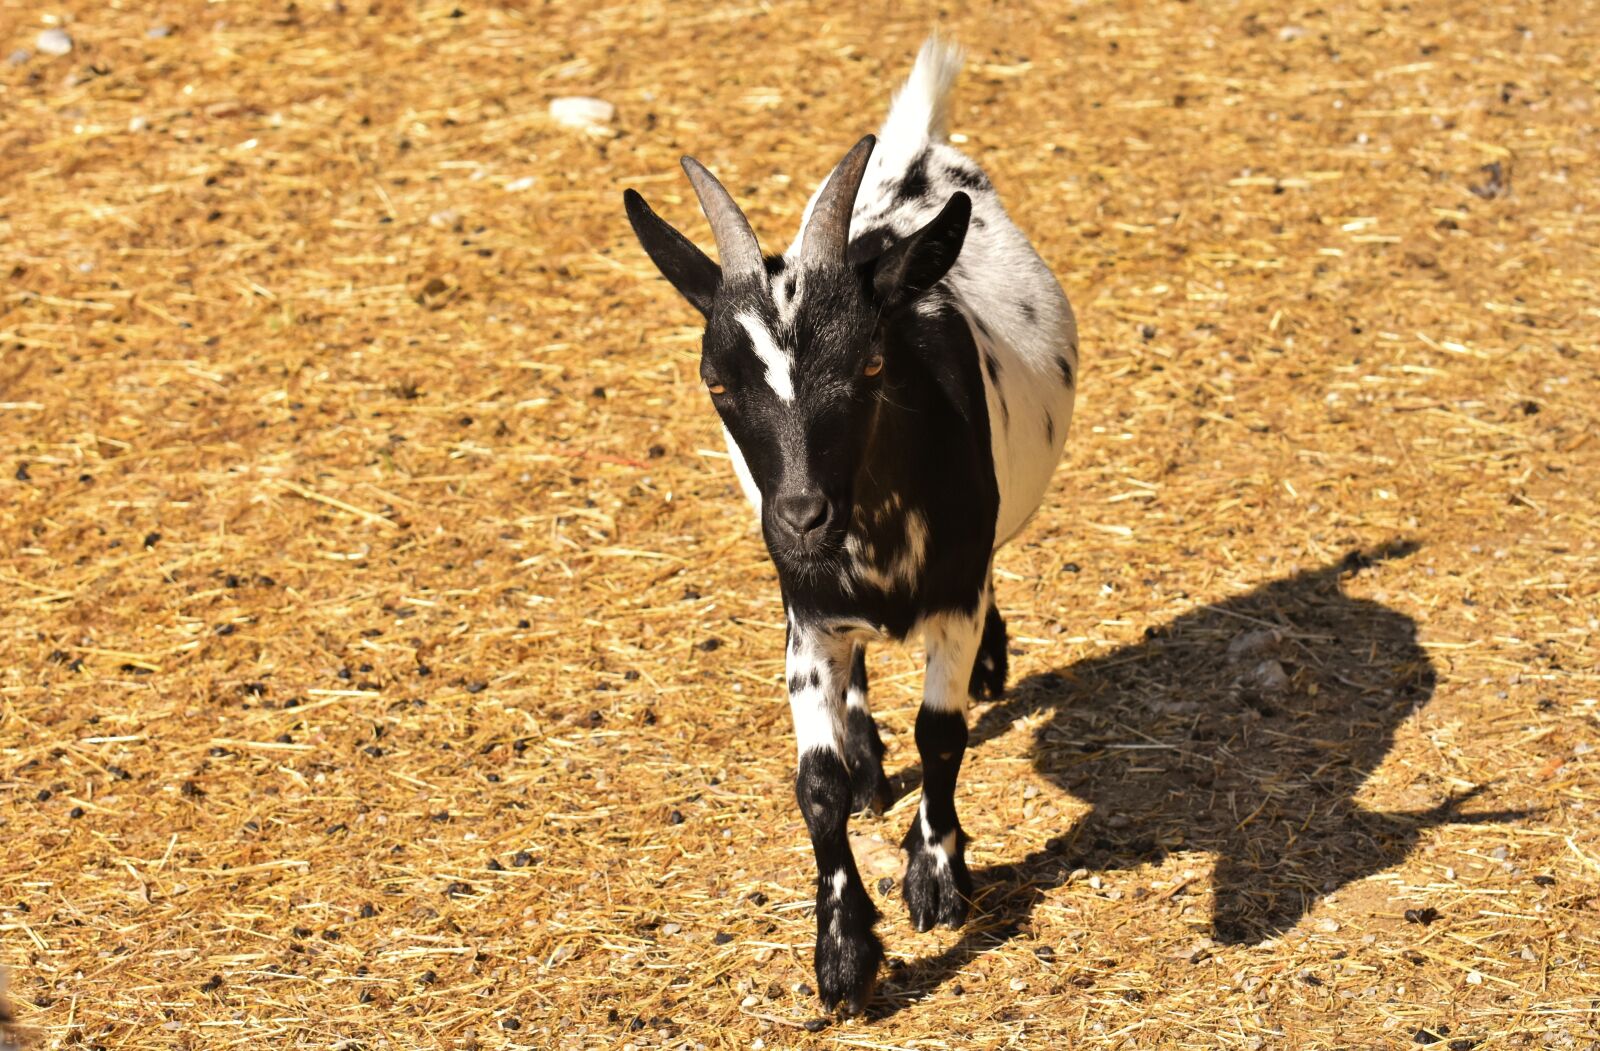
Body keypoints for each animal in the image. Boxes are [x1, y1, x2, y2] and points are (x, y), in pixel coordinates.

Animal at [623, 36, 1079, 1014]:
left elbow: (942, 734)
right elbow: (818, 782)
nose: (802, 514)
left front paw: (936, 878)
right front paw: (842, 953)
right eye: (717, 380)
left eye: (870, 363)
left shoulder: (953, 597)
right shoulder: (809, 615)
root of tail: (912, 161)